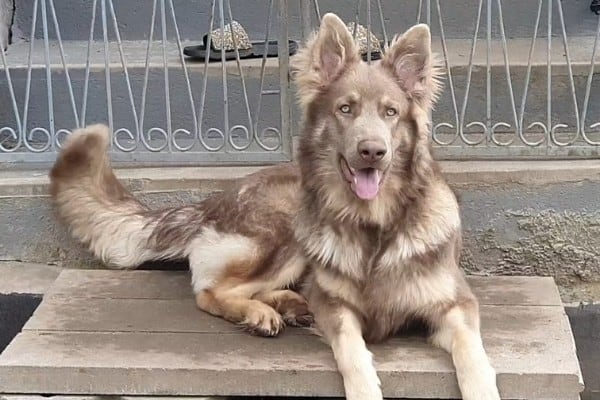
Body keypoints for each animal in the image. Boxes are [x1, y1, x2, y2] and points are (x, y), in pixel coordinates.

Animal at [50, 12, 502, 400]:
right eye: (345, 108)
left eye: (391, 112)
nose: (372, 152)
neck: (374, 227)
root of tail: (210, 202)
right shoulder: (337, 308)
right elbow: (353, 354)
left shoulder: (457, 304)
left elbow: (474, 356)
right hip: (283, 233)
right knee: (210, 292)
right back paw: (260, 312)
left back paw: (288, 305)